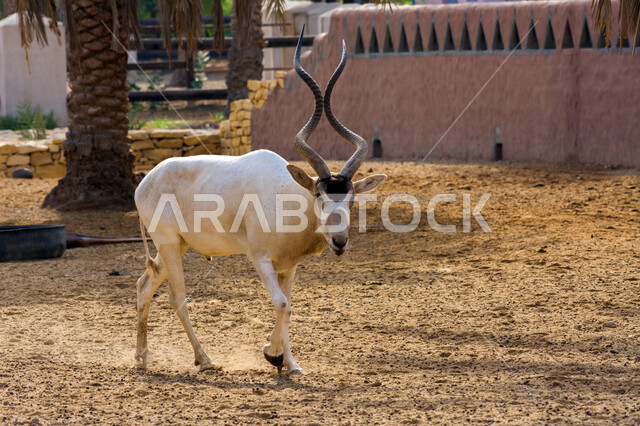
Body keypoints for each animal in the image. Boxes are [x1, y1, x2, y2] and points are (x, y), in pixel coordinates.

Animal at [134, 27, 386, 375]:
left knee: (144, 286)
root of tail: (145, 182)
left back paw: (142, 357)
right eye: (319, 195)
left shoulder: (288, 266)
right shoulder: (259, 258)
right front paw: (273, 354)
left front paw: (286, 361)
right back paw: (205, 360)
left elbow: (289, 306)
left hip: (176, 246)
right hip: (169, 244)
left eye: (350, 198)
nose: (339, 241)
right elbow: (281, 303)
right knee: (178, 299)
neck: (287, 198)